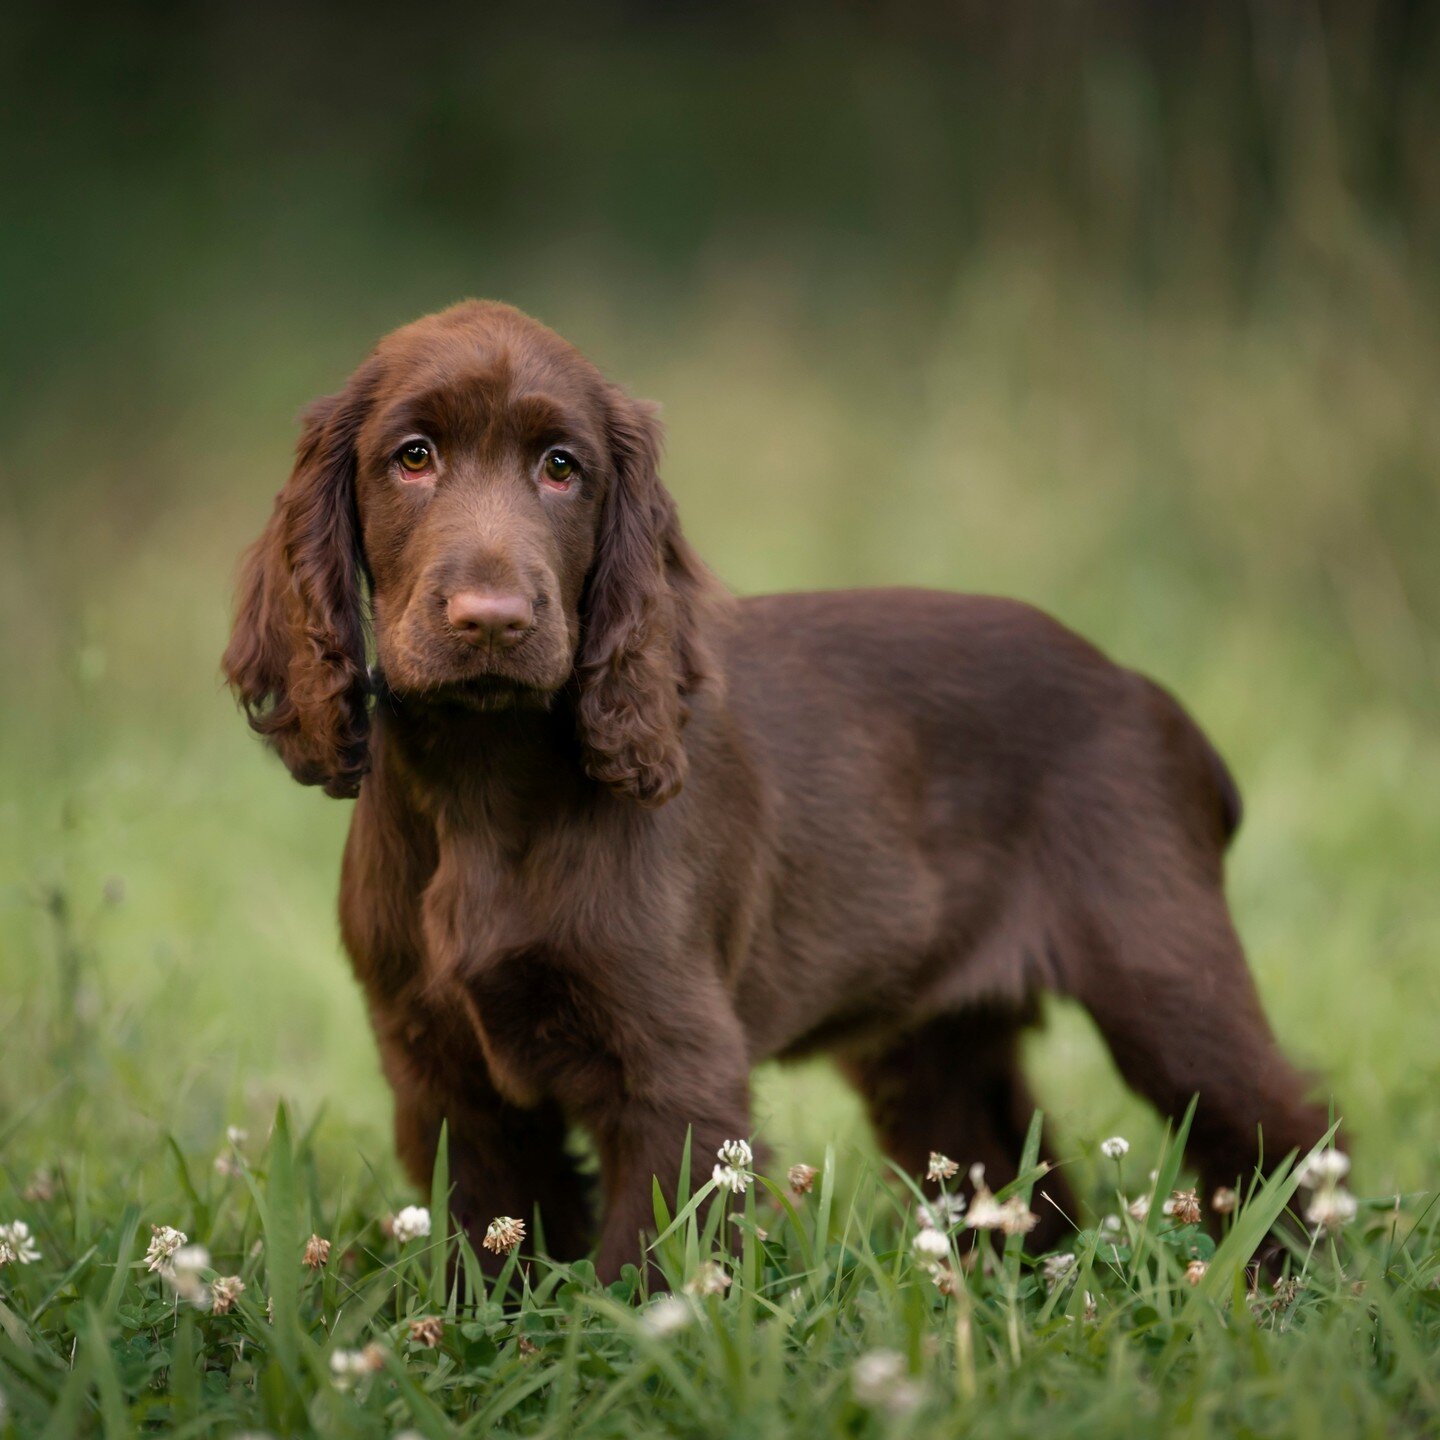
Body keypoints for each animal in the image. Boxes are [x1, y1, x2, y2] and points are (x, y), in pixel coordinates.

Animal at [221, 298, 1324, 1278]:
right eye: (413, 457)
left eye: (561, 469)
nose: (492, 619)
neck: (484, 783)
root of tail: (1146, 692)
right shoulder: (440, 1072)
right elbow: (487, 1247)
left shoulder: (678, 1072)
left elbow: (644, 1277)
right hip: (933, 1045)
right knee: (1017, 1175)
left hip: (1164, 980)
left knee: (1282, 1131)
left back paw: (1289, 1289)